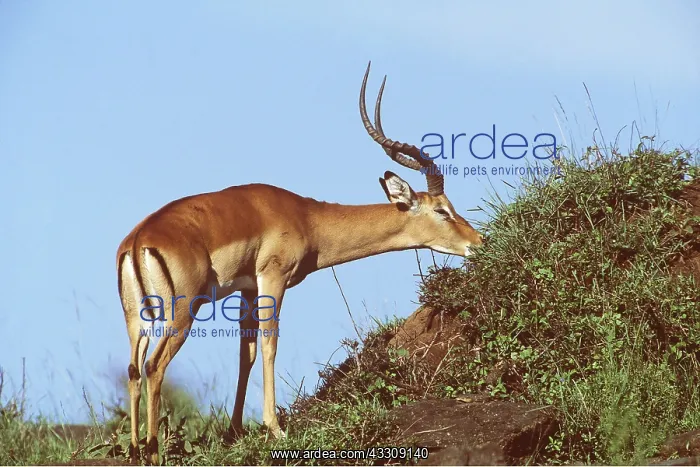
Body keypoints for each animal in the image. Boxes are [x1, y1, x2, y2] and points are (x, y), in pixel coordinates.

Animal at [116, 62, 483, 464]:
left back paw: (134, 449)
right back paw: (153, 451)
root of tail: (140, 239)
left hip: (138, 318)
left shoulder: (248, 289)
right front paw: (275, 428)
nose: (478, 242)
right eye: (442, 210)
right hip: (182, 312)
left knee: (133, 368)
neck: (307, 218)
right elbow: (270, 345)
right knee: (154, 366)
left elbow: (246, 353)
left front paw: (235, 432)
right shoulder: (273, 279)